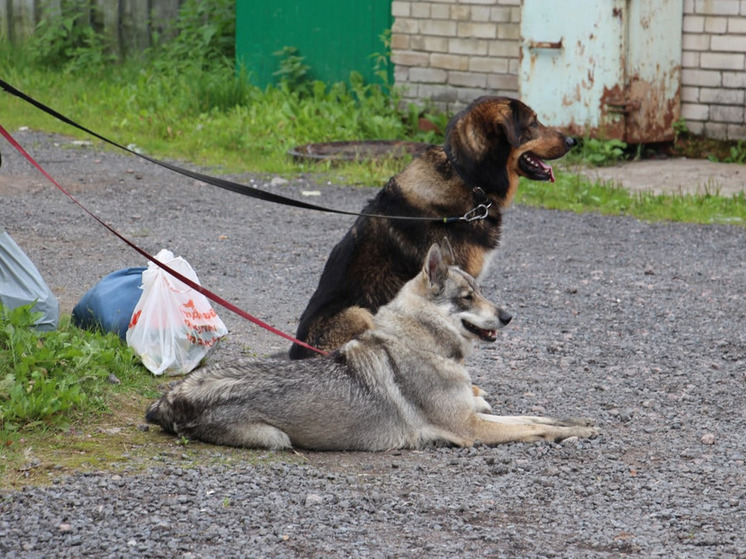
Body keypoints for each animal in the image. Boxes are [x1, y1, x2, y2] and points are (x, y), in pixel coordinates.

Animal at [147, 243, 600, 452]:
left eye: (482, 291)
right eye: (467, 297)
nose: (507, 316)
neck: (423, 344)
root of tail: (167, 400)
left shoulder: (474, 416)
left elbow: (537, 416)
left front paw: (578, 423)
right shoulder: (470, 429)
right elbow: (534, 427)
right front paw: (574, 432)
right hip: (277, 438)